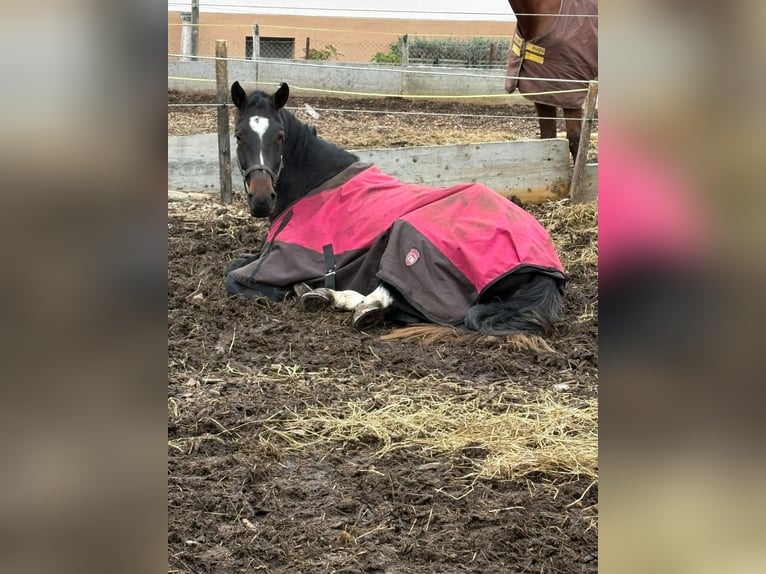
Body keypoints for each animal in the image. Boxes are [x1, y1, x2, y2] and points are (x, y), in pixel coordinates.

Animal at [225, 81, 566, 339]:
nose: (262, 199)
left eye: (280, 136)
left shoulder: (276, 259)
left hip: (408, 236)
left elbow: (232, 276)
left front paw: (288, 289)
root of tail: (545, 264)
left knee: (393, 297)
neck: (314, 183)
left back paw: (334, 299)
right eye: (239, 135)